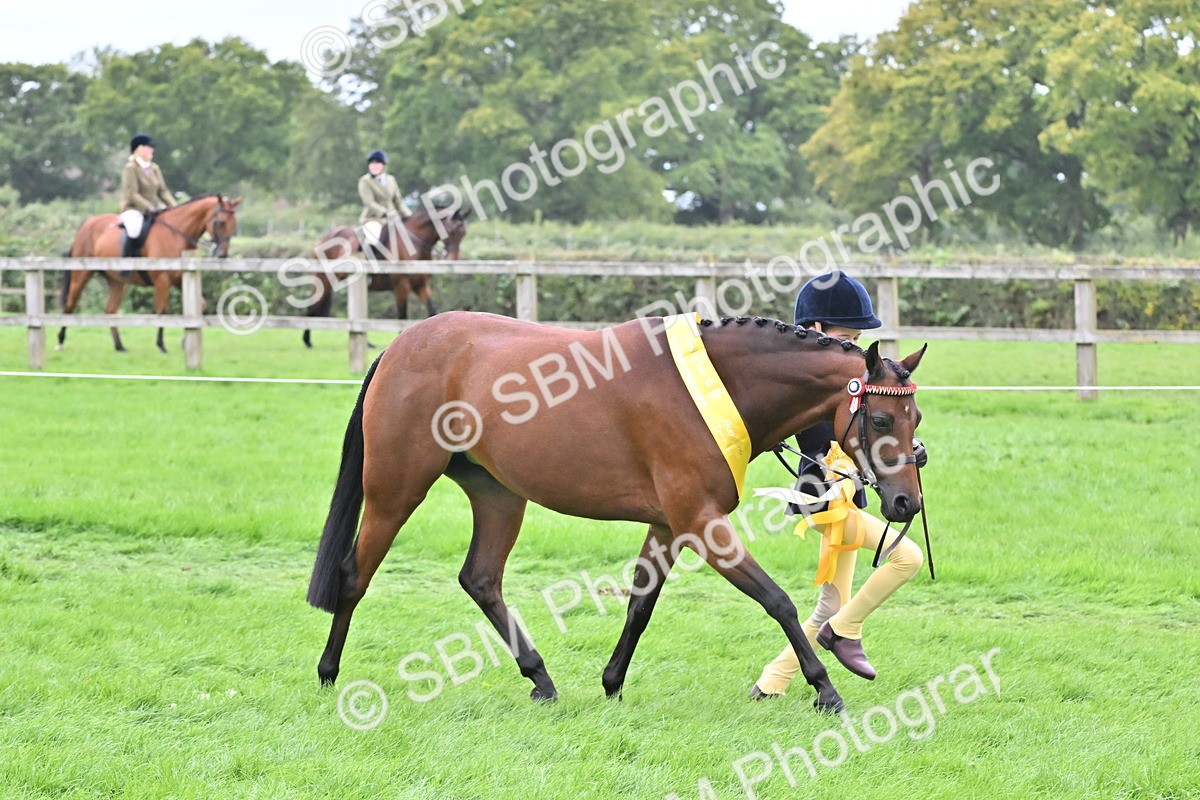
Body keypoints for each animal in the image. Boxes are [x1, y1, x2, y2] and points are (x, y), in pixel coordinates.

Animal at [59, 195, 242, 353]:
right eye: (220, 222)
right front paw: (161, 345)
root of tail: (86, 223)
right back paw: (60, 341)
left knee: (110, 310)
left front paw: (186, 340)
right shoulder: (162, 280)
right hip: (81, 274)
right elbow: (162, 310)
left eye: (234, 224)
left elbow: (201, 305)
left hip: (116, 281)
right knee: (70, 304)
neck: (175, 234)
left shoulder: (179, 279)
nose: (222, 255)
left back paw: (119, 346)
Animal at [300, 207, 469, 348]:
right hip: (323, 279)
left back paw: (367, 344)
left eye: (464, 233)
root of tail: (326, 237)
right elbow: (402, 315)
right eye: (451, 230)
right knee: (313, 305)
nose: (453, 259)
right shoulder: (401, 286)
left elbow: (432, 310)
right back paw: (307, 341)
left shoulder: (420, 285)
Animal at [307, 310, 928, 713]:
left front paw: (611, 682)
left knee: (480, 579)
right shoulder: (701, 523)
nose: (906, 502)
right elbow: (777, 600)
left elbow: (640, 606)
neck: (717, 384)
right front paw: (825, 688)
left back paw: (541, 680)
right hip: (396, 489)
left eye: (915, 419)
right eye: (879, 420)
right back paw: (328, 674)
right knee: (354, 575)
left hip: (500, 496)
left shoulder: (668, 526)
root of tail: (401, 344)